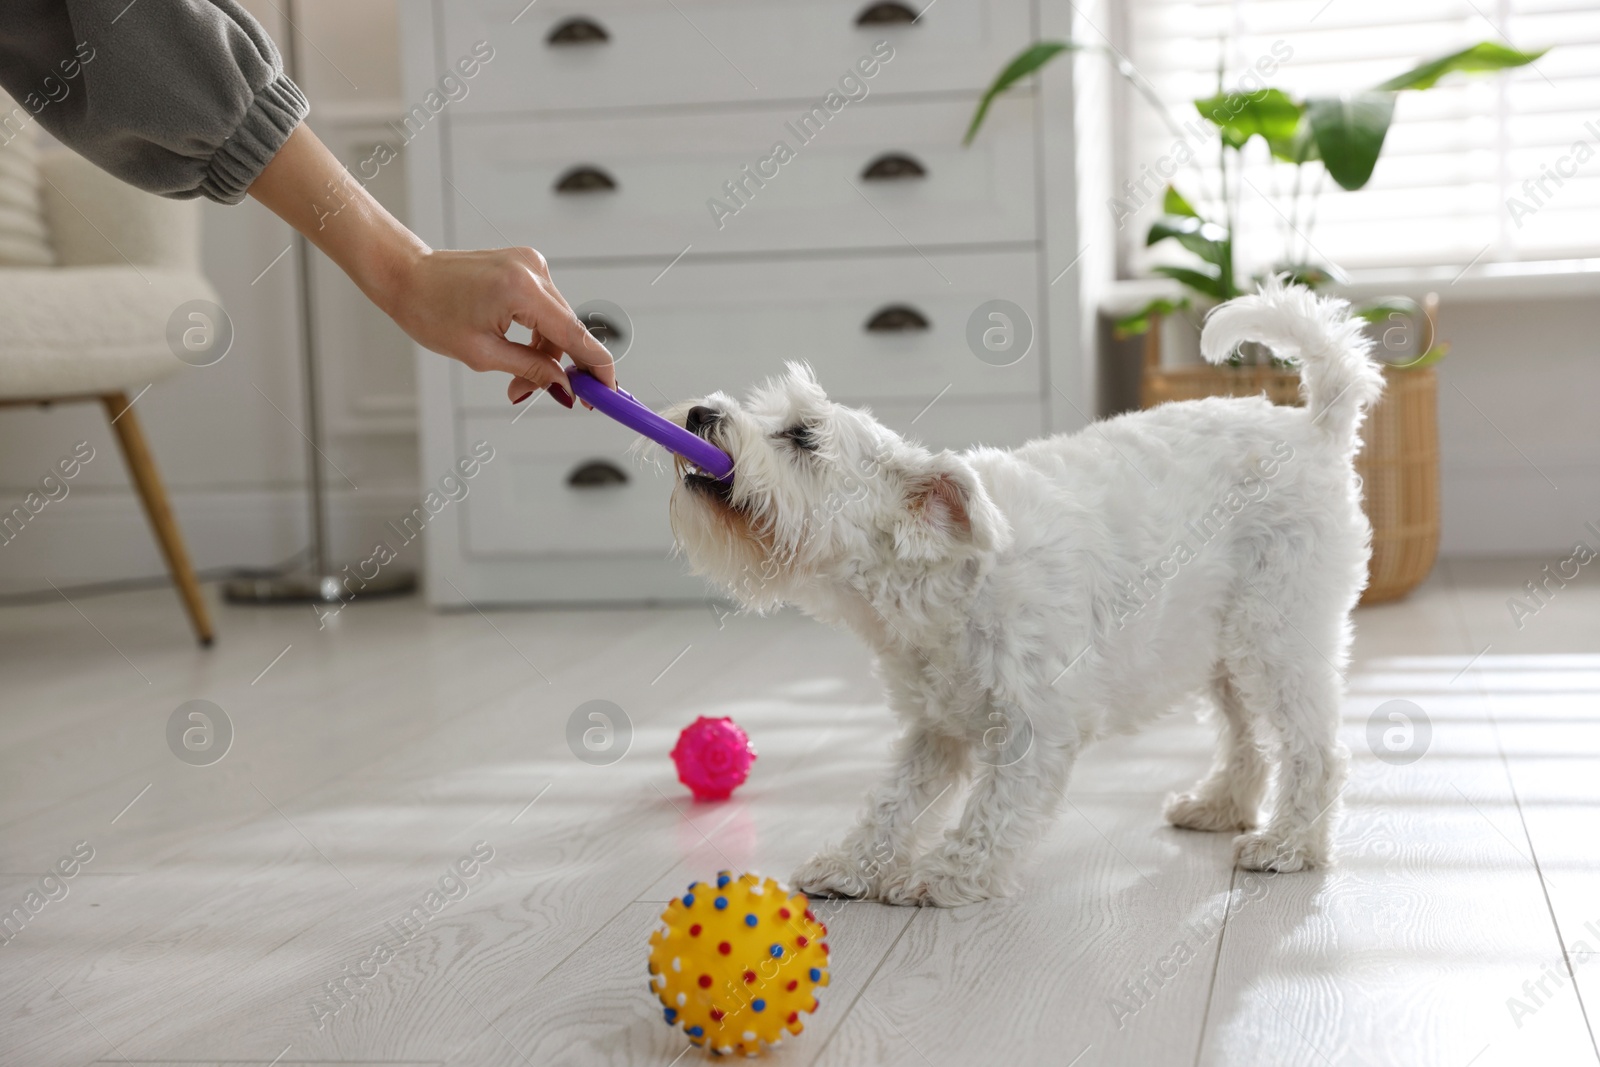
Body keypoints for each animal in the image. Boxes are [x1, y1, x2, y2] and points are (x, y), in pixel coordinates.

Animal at [662, 279, 1388, 908]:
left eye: (802, 435)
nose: (700, 412)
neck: (949, 578)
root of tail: (1316, 429)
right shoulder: (934, 726)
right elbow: (895, 800)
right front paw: (851, 863)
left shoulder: (1035, 724)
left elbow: (994, 809)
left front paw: (943, 876)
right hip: (1222, 649)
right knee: (1248, 739)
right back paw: (1221, 806)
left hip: (1277, 637)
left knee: (1316, 750)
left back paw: (1289, 844)